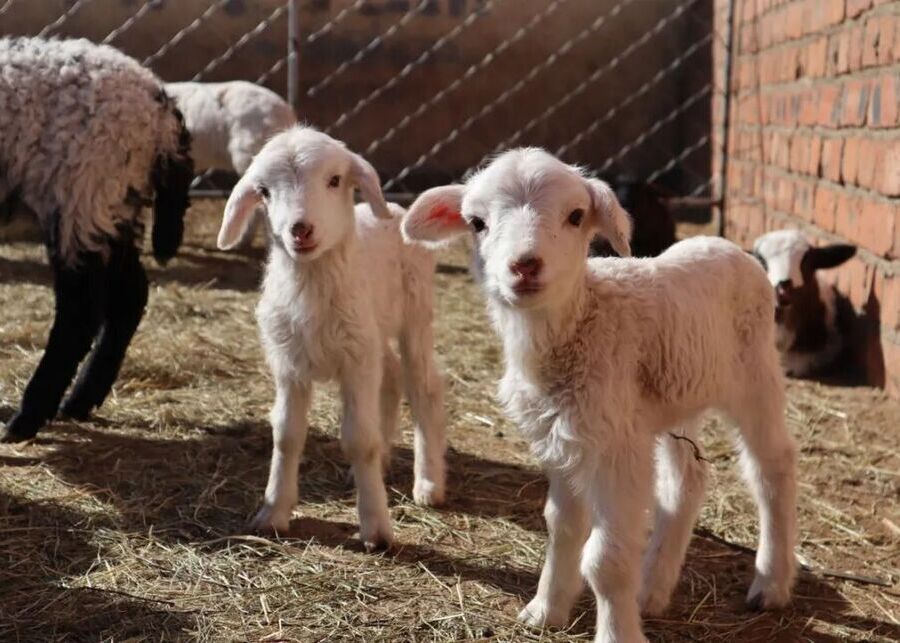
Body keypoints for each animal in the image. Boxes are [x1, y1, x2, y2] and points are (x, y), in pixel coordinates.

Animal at [0, 37, 193, 443]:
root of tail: (158, 100)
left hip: (83, 188)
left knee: (80, 313)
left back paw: (27, 418)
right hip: (114, 201)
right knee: (130, 295)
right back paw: (80, 401)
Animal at [216, 126, 446, 550]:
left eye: (335, 180)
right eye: (265, 191)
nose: (300, 229)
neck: (312, 285)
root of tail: (395, 209)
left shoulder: (356, 361)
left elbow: (359, 440)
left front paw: (376, 528)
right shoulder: (289, 364)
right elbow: (287, 435)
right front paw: (273, 513)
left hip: (415, 314)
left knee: (423, 386)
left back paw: (428, 483)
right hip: (372, 330)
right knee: (391, 375)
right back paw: (380, 464)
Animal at [401, 148, 797, 643]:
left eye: (575, 216)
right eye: (476, 222)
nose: (525, 265)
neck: (581, 321)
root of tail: (725, 245)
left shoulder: (615, 448)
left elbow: (605, 560)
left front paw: (614, 632)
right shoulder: (561, 440)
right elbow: (562, 527)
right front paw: (545, 610)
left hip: (755, 375)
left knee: (772, 470)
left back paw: (771, 584)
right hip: (671, 400)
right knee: (685, 482)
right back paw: (652, 589)